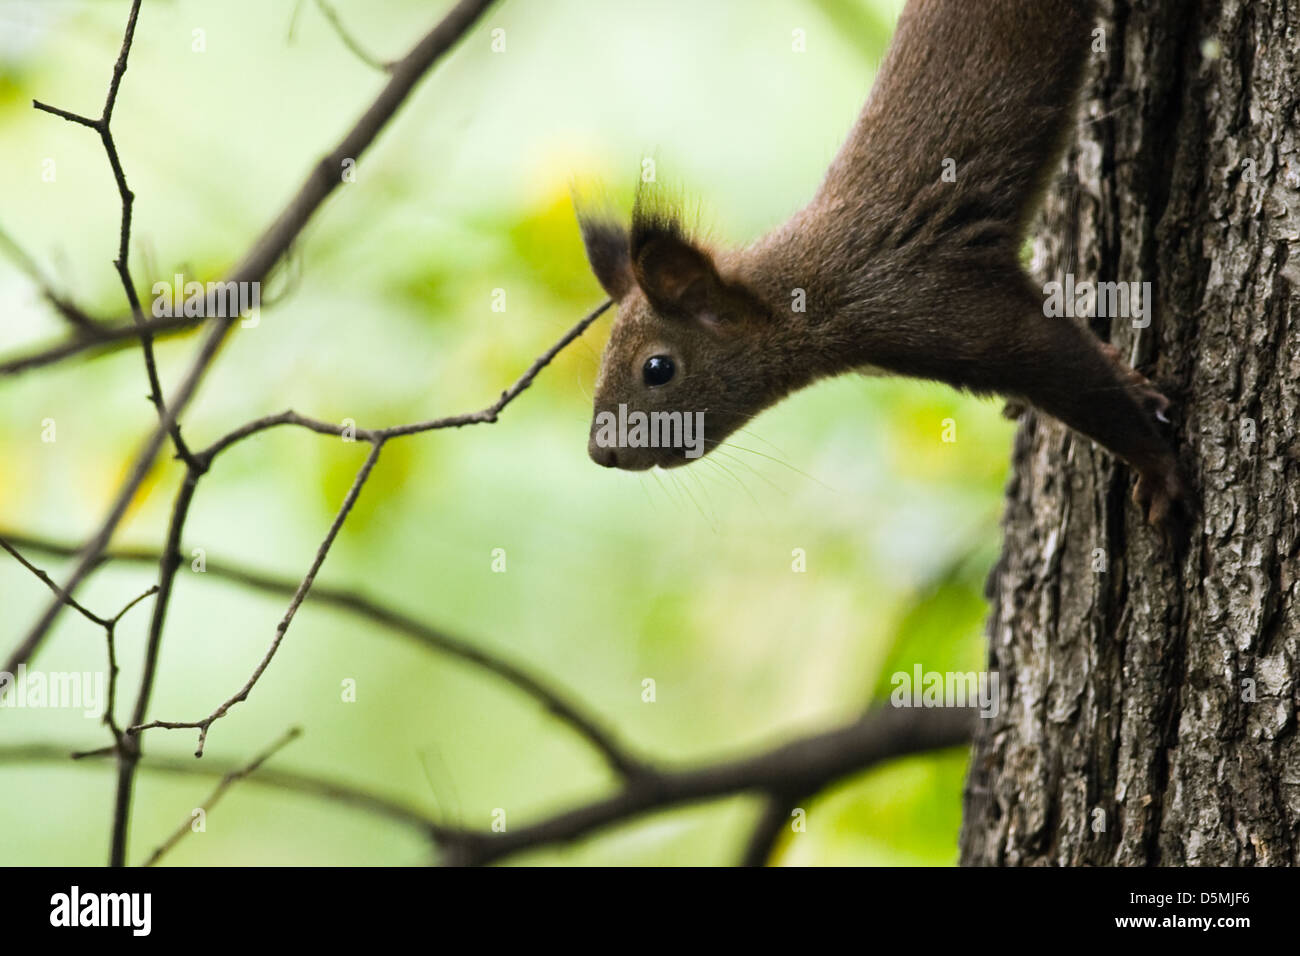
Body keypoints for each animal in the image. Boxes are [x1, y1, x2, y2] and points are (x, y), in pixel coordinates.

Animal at [579, 0, 1190, 528]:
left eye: (658, 369)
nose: (601, 453)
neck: (808, 294)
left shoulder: (930, 302)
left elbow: (1066, 368)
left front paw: (1159, 470)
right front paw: (1132, 378)